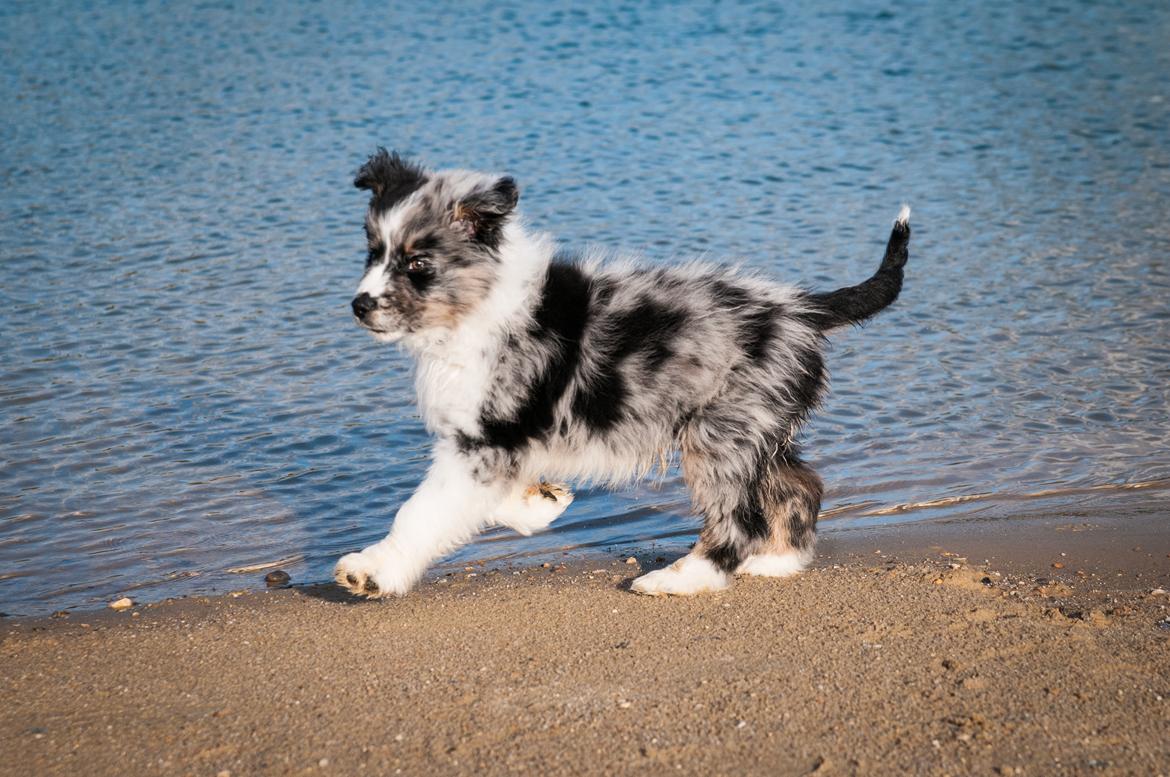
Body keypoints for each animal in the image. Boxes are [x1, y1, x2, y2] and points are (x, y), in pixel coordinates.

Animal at [334, 153, 907, 599]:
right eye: (373, 252)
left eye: (417, 265)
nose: (360, 305)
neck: (477, 305)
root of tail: (800, 309)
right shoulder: (489, 443)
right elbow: (482, 498)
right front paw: (541, 505)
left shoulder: (486, 438)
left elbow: (424, 509)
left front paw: (373, 569)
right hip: (755, 426)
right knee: (800, 483)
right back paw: (778, 560)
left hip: (718, 434)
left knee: (739, 519)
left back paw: (682, 578)